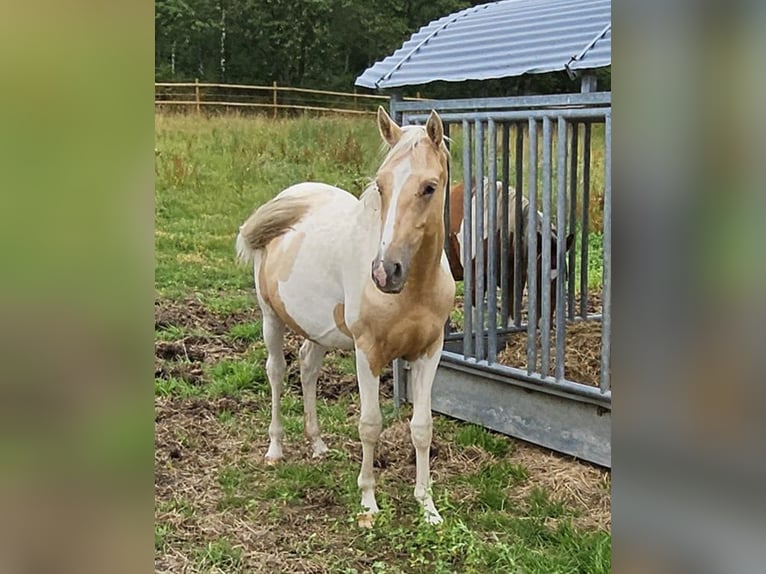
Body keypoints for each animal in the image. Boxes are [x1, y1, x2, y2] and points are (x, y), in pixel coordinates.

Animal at [235, 107, 454, 527]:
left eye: (429, 187)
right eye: (380, 186)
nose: (385, 272)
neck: (415, 289)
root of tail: (290, 196)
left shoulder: (429, 352)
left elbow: (422, 427)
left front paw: (428, 507)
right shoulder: (367, 352)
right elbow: (370, 425)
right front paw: (368, 503)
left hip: (318, 330)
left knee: (307, 367)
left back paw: (318, 444)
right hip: (271, 318)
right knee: (277, 372)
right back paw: (275, 450)